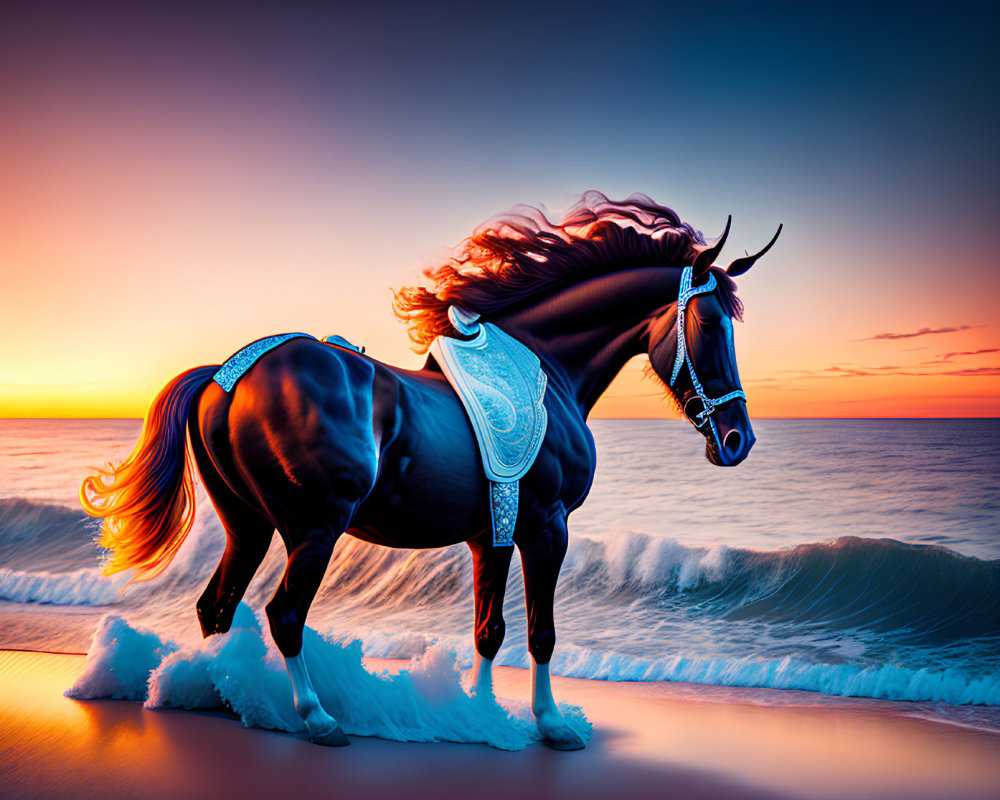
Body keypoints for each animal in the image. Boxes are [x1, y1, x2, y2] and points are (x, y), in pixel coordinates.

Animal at [80, 192, 780, 752]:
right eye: (711, 323)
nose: (737, 439)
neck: (548, 370)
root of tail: (227, 374)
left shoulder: (490, 535)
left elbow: (489, 631)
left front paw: (481, 716)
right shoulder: (546, 527)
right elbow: (541, 632)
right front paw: (552, 725)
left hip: (247, 526)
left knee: (217, 607)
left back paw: (216, 691)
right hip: (313, 529)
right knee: (284, 614)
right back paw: (317, 718)